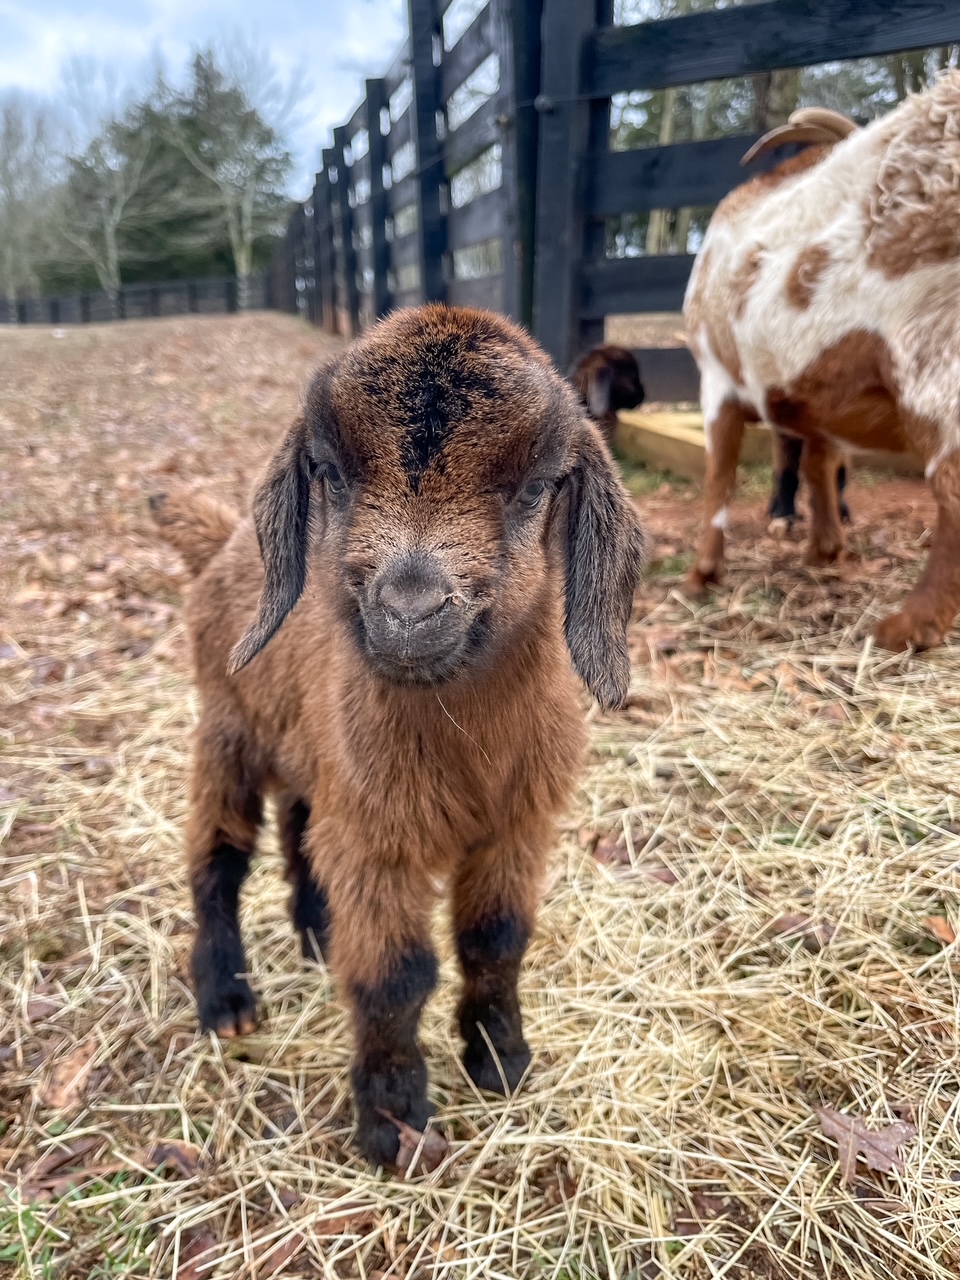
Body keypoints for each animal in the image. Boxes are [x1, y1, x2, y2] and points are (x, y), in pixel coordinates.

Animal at [154, 304, 647, 1167]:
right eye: (330, 470)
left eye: (538, 484)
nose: (409, 611)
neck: (462, 740)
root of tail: (223, 542)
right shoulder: (379, 843)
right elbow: (395, 977)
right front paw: (395, 1123)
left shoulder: (514, 826)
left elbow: (497, 940)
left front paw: (501, 1060)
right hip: (225, 730)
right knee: (215, 862)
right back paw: (225, 998)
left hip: (315, 757)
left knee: (301, 827)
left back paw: (318, 932)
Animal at [686, 72, 960, 650]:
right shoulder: (814, 391)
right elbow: (819, 461)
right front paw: (825, 549)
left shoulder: (715, 377)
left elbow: (719, 473)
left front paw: (702, 573)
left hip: (931, 356)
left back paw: (909, 627)